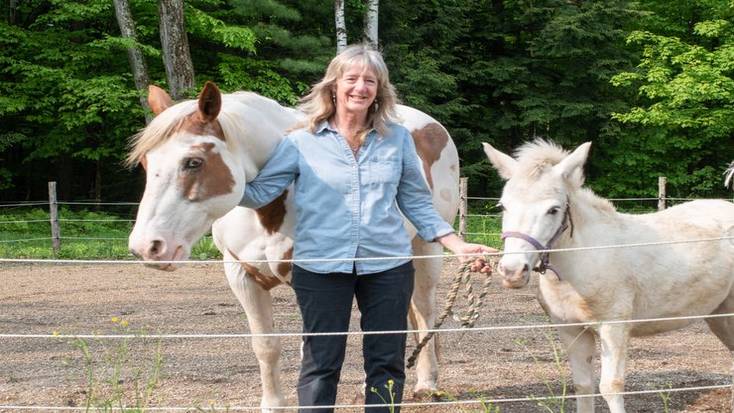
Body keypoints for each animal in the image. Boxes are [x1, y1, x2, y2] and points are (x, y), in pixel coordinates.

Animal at [126, 82, 460, 410]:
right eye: (145, 162)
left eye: (193, 162)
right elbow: (266, 346)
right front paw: (273, 404)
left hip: (426, 251)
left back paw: (426, 384)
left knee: (424, 311)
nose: (148, 246)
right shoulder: (241, 275)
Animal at [484, 139, 734, 412]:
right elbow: (583, 386)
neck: (584, 261)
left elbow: (610, 387)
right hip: (720, 315)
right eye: (503, 206)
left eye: (553, 209)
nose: (512, 271)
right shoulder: (571, 330)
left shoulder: (614, 327)